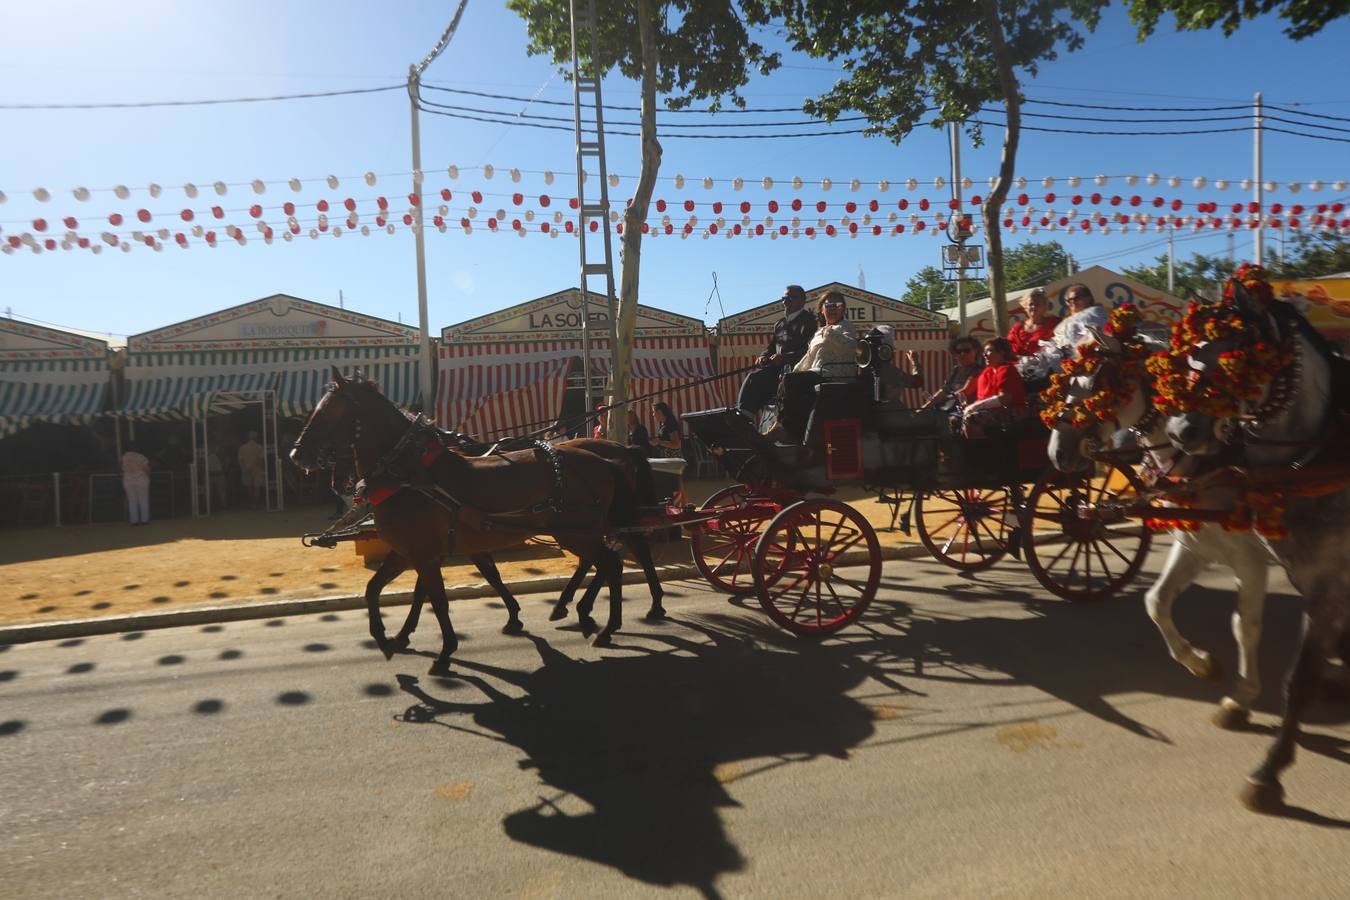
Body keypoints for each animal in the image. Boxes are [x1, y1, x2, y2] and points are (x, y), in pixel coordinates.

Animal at [292, 369, 650, 671]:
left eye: (330, 411)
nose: (297, 454)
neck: (410, 474)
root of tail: (604, 459)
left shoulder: (424, 554)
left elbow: (437, 600)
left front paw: (445, 650)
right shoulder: (409, 552)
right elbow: (375, 589)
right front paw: (388, 639)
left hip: (576, 533)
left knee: (611, 564)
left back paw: (605, 625)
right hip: (580, 532)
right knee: (605, 563)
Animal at [1042, 330, 1274, 734]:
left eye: (1098, 383)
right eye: (1066, 382)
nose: (1057, 452)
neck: (1214, 461)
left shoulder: (1251, 558)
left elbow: (1245, 625)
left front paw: (1239, 700)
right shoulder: (1196, 546)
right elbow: (1156, 602)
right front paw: (1202, 663)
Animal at [1166, 284, 1344, 814]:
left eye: (1239, 355)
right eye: (1189, 355)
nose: (1181, 431)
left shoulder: (1323, 578)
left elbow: (1294, 674)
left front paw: (1268, 773)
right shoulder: (1296, 572)